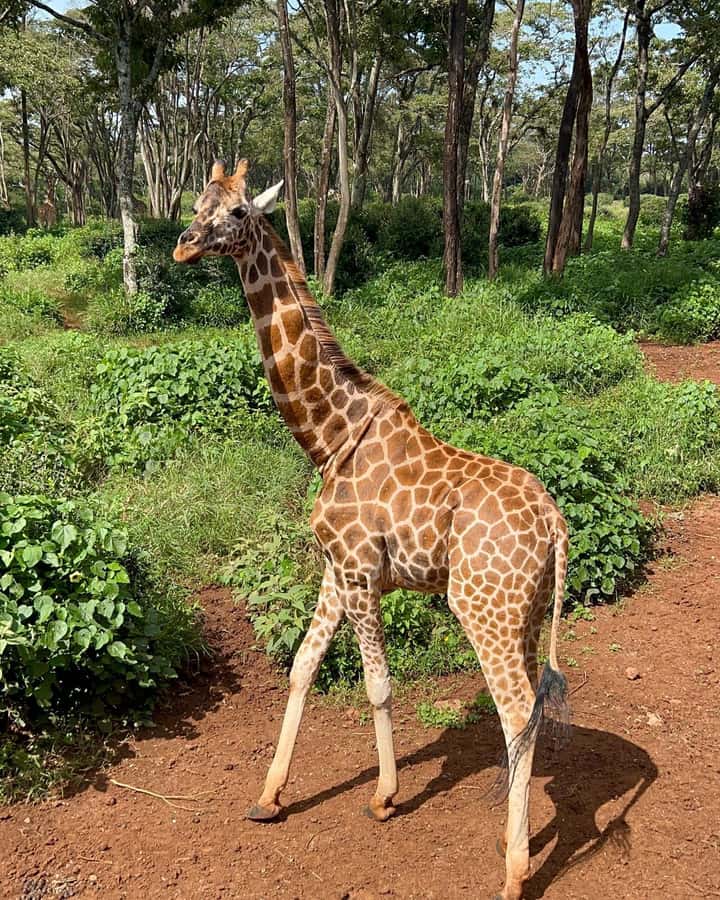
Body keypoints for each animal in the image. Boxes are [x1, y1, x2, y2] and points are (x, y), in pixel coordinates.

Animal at [174, 159, 571, 900]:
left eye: (238, 212)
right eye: (196, 203)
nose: (183, 245)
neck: (328, 437)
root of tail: (558, 526)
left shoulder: (360, 572)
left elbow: (378, 685)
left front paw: (385, 797)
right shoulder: (336, 570)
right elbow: (301, 667)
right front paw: (268, 798)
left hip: (483, 608)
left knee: (514, 715)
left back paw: (514, 870)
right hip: (527, 614)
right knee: (530, 707)